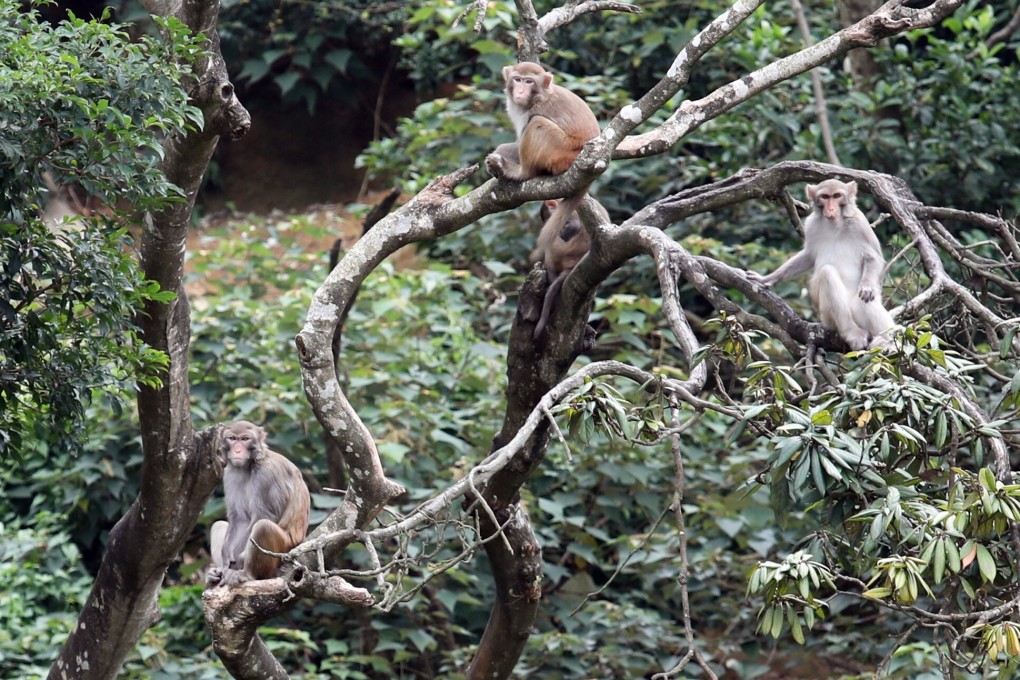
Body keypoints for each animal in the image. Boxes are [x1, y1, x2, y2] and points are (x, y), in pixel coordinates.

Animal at [207, 420, 311, 587]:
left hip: (283, 550)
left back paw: (248, 575)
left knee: (263, 527)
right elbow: (240, 519)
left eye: (245, 439)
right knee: (218, 525)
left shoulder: (266, 474)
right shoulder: (229, 473)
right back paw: (216, 572)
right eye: (232, 438)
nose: (237, 450)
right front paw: (225, 561)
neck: (250, 465)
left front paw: (238, 563)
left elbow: (263, 516)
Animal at [485, 61, 601, 253]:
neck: (538, 96)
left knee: (537, 123)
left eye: (529, 81)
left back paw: (520, 172)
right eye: (517, 79)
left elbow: (525, 134)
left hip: (562, 151)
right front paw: (498, 153)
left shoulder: (537, 108)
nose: (520, 91)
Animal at [747, 179, 895, 351]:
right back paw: (851, 332)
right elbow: (809, 256)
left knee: (867, 301)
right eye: (825, 197)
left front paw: (868, 287)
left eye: (837, 196)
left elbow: (873, 258)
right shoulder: (811, 225)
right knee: (827, 273)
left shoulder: (860, 223)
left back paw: (888, 339)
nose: (830, 208)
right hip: (827, 317)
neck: (834, 223)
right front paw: (767, 279)